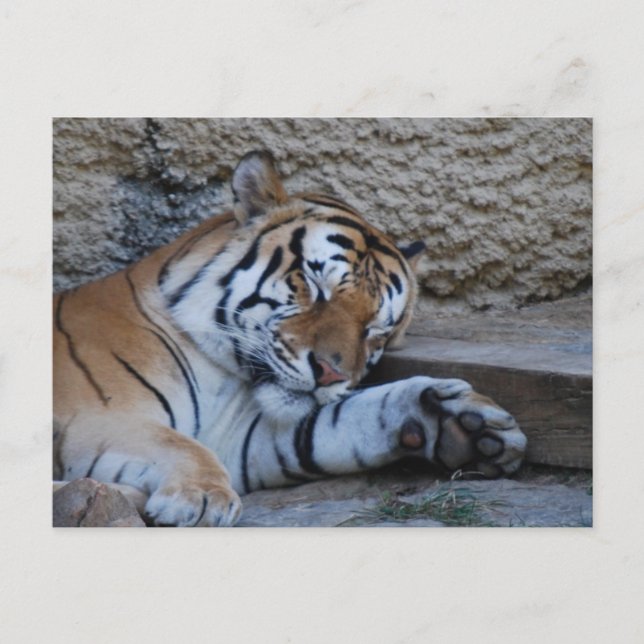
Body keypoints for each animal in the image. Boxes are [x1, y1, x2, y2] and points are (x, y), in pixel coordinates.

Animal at [53, 150, 527, 527]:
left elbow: (339, 422)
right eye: (316, 287)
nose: (330, 373)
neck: (223, 371)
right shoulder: (105, 418)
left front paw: (464, 424)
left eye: (375, 330)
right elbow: (178, 444)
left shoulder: (239, 439)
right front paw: (203, 497)